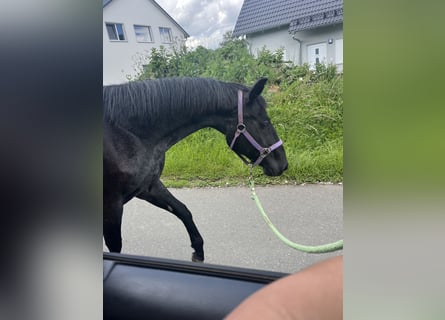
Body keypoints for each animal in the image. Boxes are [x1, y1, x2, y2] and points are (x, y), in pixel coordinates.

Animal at [103, 77, 286, 262]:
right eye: (264, 122)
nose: (283, 164)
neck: (129, 134)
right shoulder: (112, 205)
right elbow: (115, 246)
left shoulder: (148, 187)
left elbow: (182, 210)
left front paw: (198, 252)